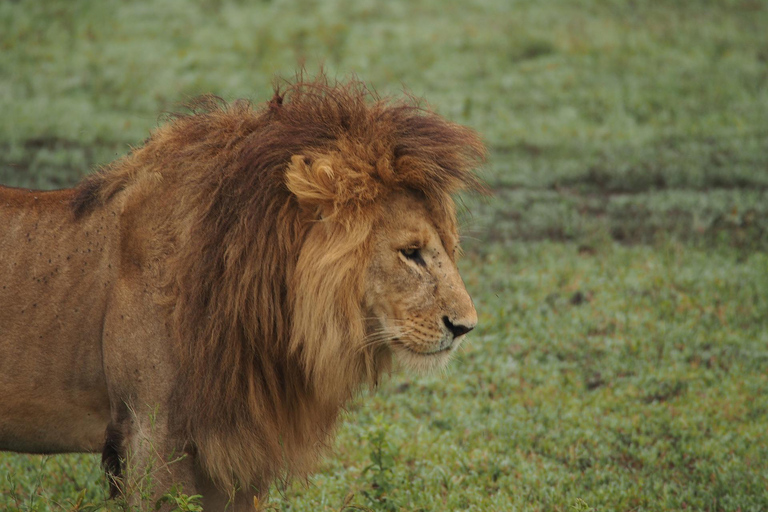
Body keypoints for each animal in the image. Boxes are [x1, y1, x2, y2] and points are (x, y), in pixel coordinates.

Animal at [0, 75, 484, 508]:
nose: (465, 328)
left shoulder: (234, 448)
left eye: (448, 247)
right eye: (411, 252)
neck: (272, 316)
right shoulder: (148, 433)